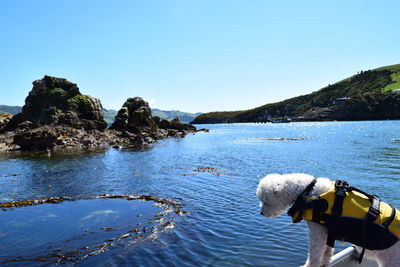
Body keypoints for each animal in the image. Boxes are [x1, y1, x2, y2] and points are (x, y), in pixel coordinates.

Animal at [256, 174, 400, 267]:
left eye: (266, 201)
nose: (261, 212)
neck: (307, 191)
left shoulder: (317, 231)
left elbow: (315, 253)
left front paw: (309, 265)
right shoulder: (327, 232)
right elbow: (327, 251)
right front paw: (325, 262)